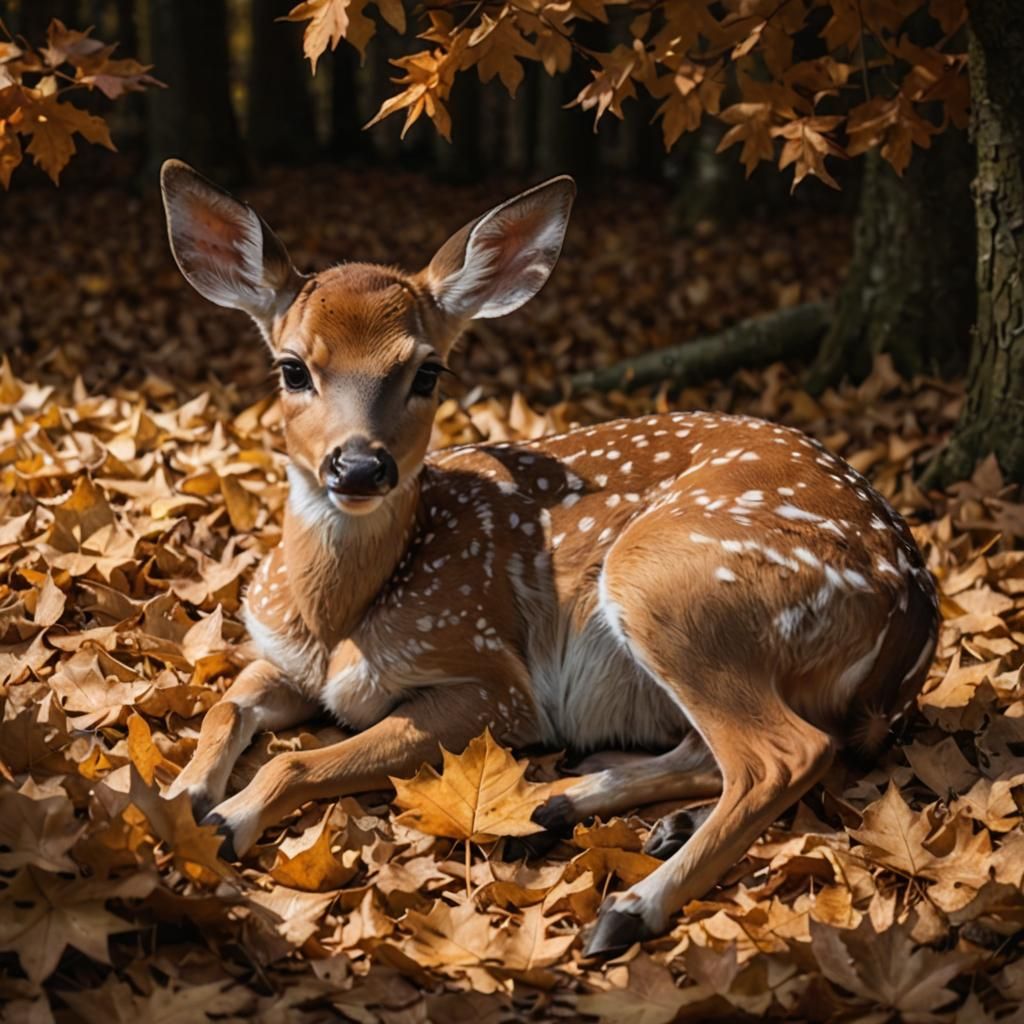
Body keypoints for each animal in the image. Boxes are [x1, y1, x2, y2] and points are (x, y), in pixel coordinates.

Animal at [158, 160, 939, 955]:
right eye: (292, 368)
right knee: (739, 750)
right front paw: (179, 795)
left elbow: (297, 758)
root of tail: (913, 603)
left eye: (428, 372)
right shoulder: (278, 654)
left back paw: (629, 904)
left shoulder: (492, 679)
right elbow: (225, 706)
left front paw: (225, 820)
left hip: (670, 580)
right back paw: (566, 807)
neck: (336, 619)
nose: (359, 466)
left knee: (785, 754)